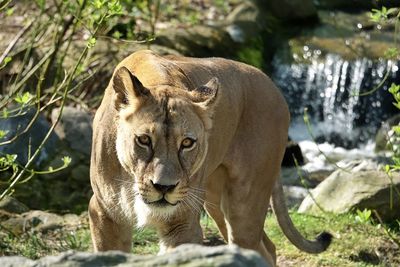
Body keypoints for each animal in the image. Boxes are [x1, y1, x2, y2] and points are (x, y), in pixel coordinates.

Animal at [90, 49, 332, 266]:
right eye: (144, 140)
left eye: (187, 143)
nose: (164, 187)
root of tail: (272, 85)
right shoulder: (104, 213)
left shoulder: (183, 223)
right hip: (216, 202)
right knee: (267, 246)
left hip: (244, 204)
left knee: (256, 245)